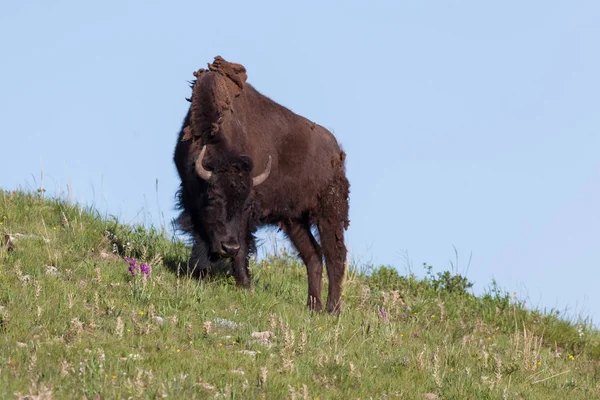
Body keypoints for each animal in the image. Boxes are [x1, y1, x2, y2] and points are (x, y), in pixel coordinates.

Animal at [173, 56, 350, 312]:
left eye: (245, 204)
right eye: (214, 198)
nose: (228, 247)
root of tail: (337, 152)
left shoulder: (247, 219)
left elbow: (243, 246)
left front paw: (245, 286)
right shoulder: (190, 199)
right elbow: (199, 235)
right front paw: (200, 272)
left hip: (329, 213)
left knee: (335, 256)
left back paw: (332, 310)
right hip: (294, 220)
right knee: (314, 255)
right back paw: (312, 306)